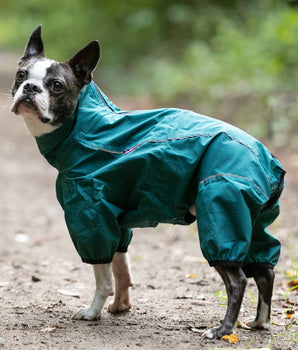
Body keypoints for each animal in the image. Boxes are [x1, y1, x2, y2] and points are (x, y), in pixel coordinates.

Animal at [10, 26, 286, 338]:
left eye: (56, 86)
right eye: (21, 75)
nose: (30, 88)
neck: (86, 128)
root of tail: (267, 159)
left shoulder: (91, 217)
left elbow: (103, 277)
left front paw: (93, 312)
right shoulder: (116, 222)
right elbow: (121, 269)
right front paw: (120, 306)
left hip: (223, 214)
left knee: (238, 280)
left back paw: (223, 330)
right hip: (254, 223)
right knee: (265, 271)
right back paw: (260, 322)